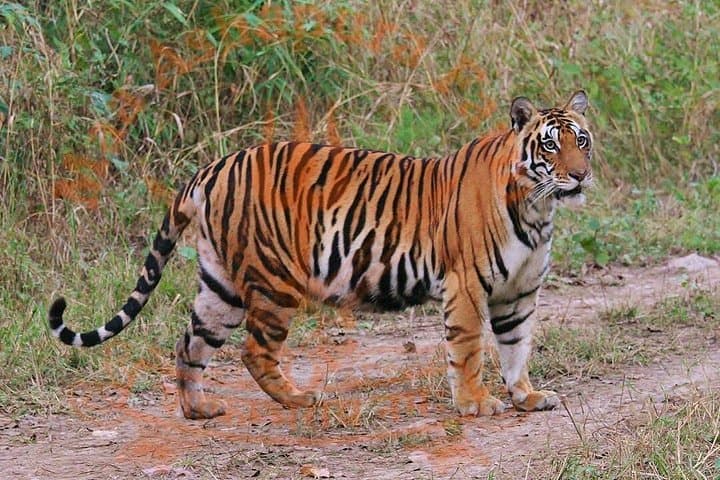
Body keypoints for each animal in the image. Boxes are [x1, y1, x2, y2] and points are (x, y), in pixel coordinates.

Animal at [49, 90, 593, 419]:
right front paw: (476, 404)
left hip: (220, 286)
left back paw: (197, 410)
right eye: (550, 146)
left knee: (190, 344)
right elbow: (469, 350)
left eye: (582, 140)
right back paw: (299, 398)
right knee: (254, 351)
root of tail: (212, 167)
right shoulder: (466, 286)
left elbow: (516, 346)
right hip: (273, 281)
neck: (537, 208)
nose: (581, 175)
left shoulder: (518, 292)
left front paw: (527, 396)